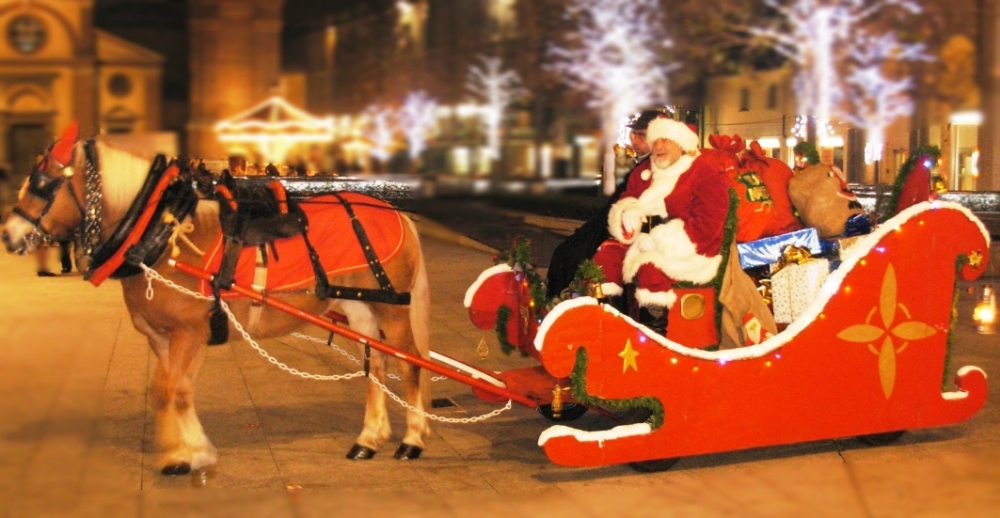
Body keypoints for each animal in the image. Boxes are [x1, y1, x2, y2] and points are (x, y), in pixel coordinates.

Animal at [3, 125, 434, 476]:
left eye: (41, 183)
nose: (8, 233)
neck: (162, 233)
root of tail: (396, 211)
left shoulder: (188, 333)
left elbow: (175, 392)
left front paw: (191, 453)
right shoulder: (163, 337)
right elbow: (168, 392)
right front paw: (183, 451)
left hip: (392, 309)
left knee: (410, 363)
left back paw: (411, 440)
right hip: (360, 309)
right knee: (376, 366)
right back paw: (368, 439)